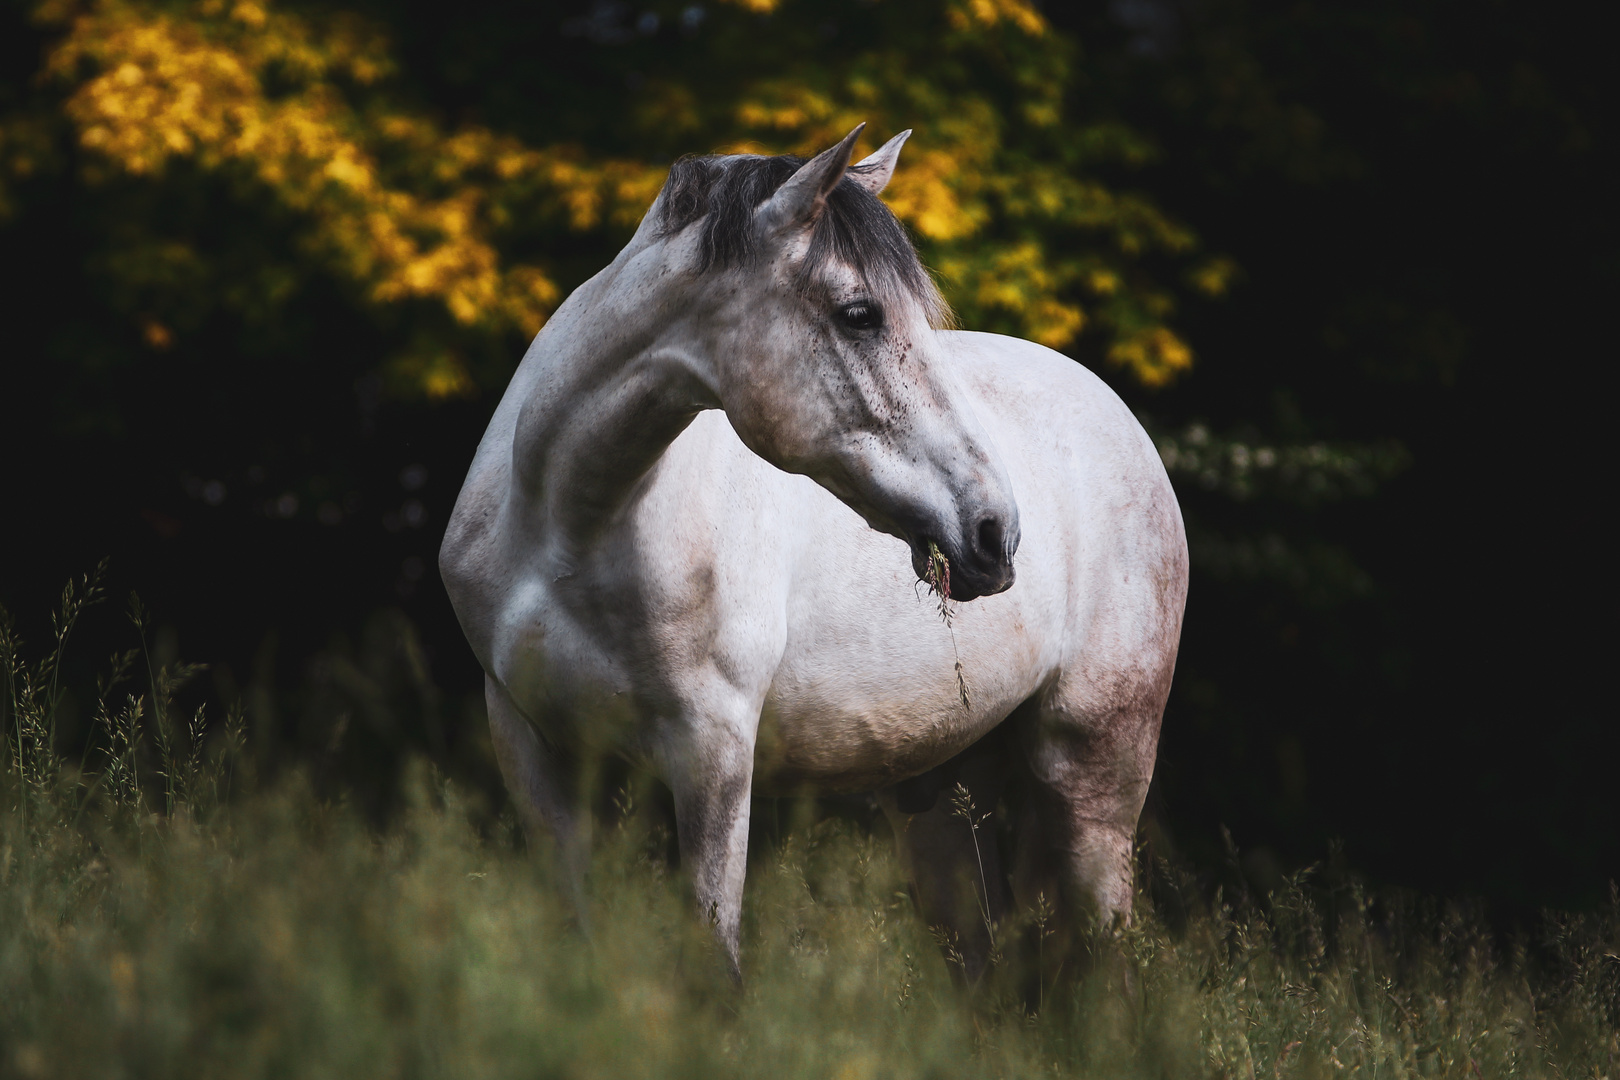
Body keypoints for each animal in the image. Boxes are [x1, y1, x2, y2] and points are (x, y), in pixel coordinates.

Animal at [443, 124, 1192, 977]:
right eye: (859, 313)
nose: (994, 533)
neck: (568, 529)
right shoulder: (531, 749)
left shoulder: (712, 753)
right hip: (938, 793)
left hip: (1095, 775)